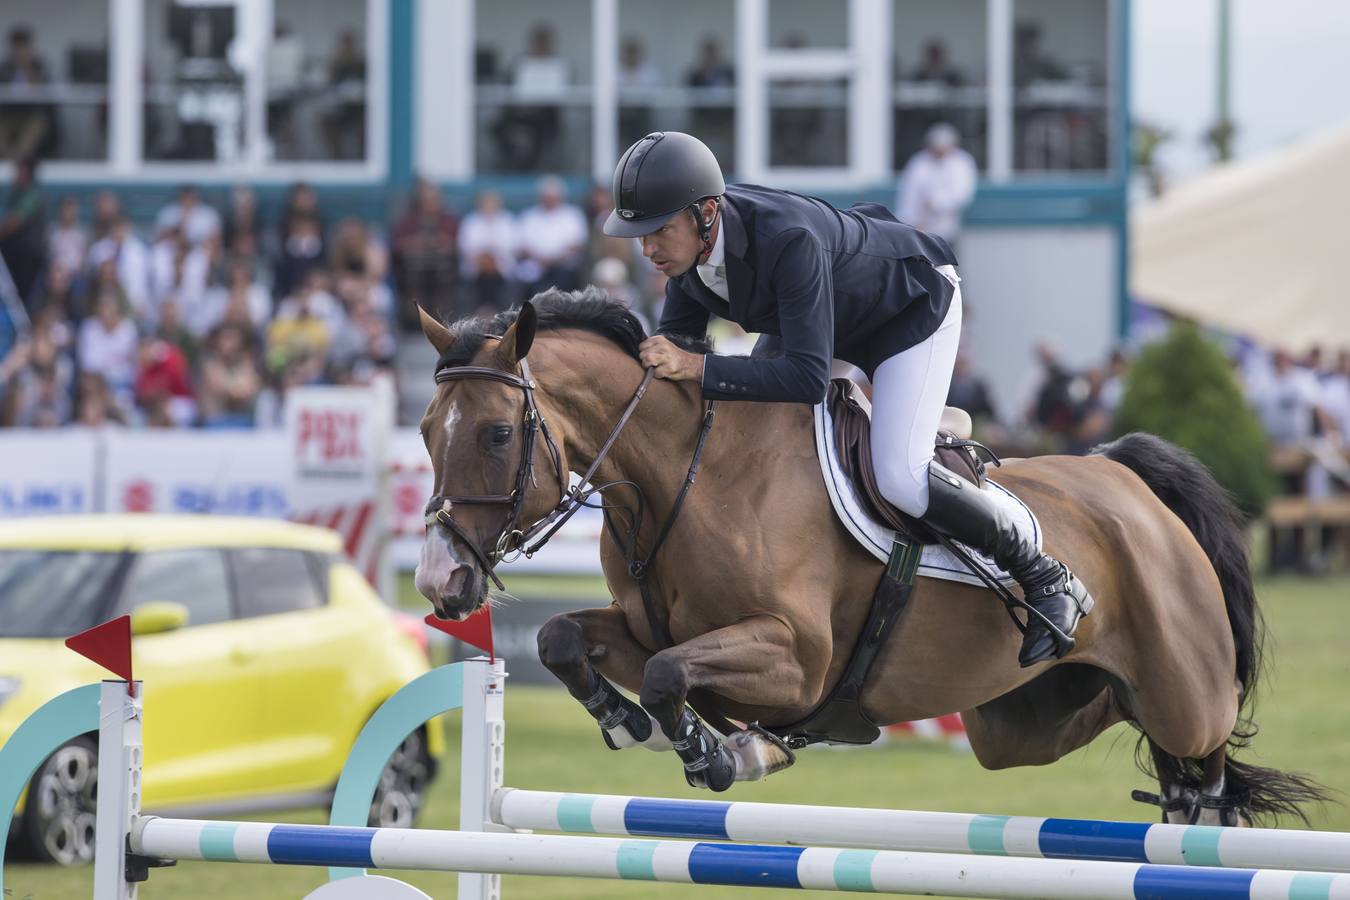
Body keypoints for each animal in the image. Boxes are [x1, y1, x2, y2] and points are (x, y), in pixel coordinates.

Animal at [410, 292, 1317, 825]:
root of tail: (1127, 478)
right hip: (1023, 721)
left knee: (1205, 758)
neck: (687, 476)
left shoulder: (797, 659)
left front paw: (726, 750)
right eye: (424, 430)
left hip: (1184, 693)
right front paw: (630, 721)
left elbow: (673, 675)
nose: (440, 582)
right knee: (1133, 737)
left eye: (497, 434)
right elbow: (568, 638)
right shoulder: (646, 630)